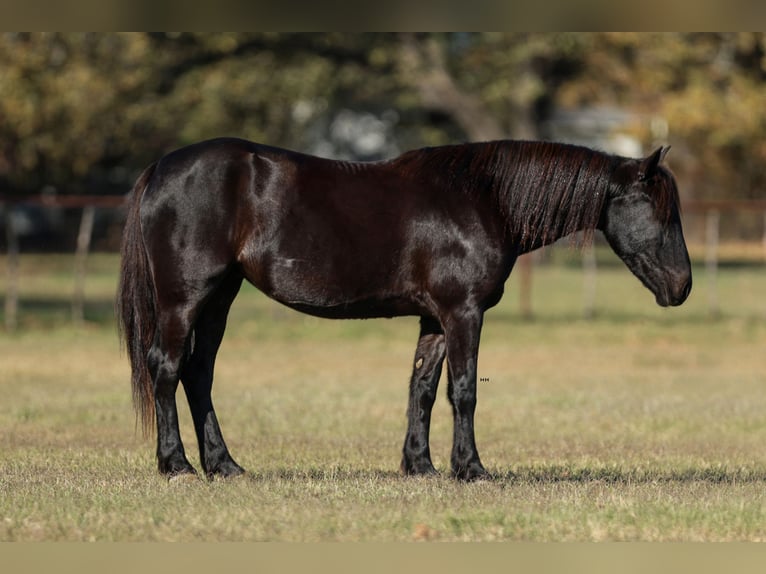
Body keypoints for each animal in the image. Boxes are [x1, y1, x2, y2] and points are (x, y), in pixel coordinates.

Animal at [117, 138, 692, 482]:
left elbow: (422, 389)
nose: (683, 286)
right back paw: (176, 465)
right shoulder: (463, 313)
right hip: (185, 297)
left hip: (220, 298)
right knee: (166, 369)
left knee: (198, 374)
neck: (483, 199)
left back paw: (224, 465)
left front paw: (420, 465)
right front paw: (471, 469)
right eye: (659, 211)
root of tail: (160, 168)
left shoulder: (435, 319)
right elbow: (463, 391)